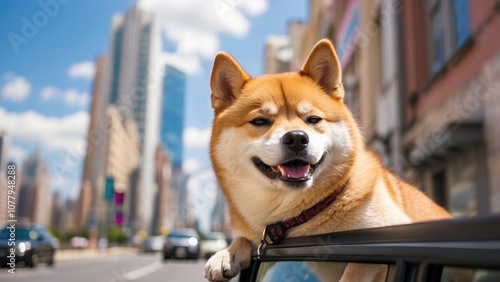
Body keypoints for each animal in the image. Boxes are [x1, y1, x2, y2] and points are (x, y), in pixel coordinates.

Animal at [203, 38, 450, 280]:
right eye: (260, 121)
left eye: (313, 119)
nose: (296, 138)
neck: (300, 217)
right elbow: (241, 237)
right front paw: (226, 254)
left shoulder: (390, 232)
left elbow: (354, 272)